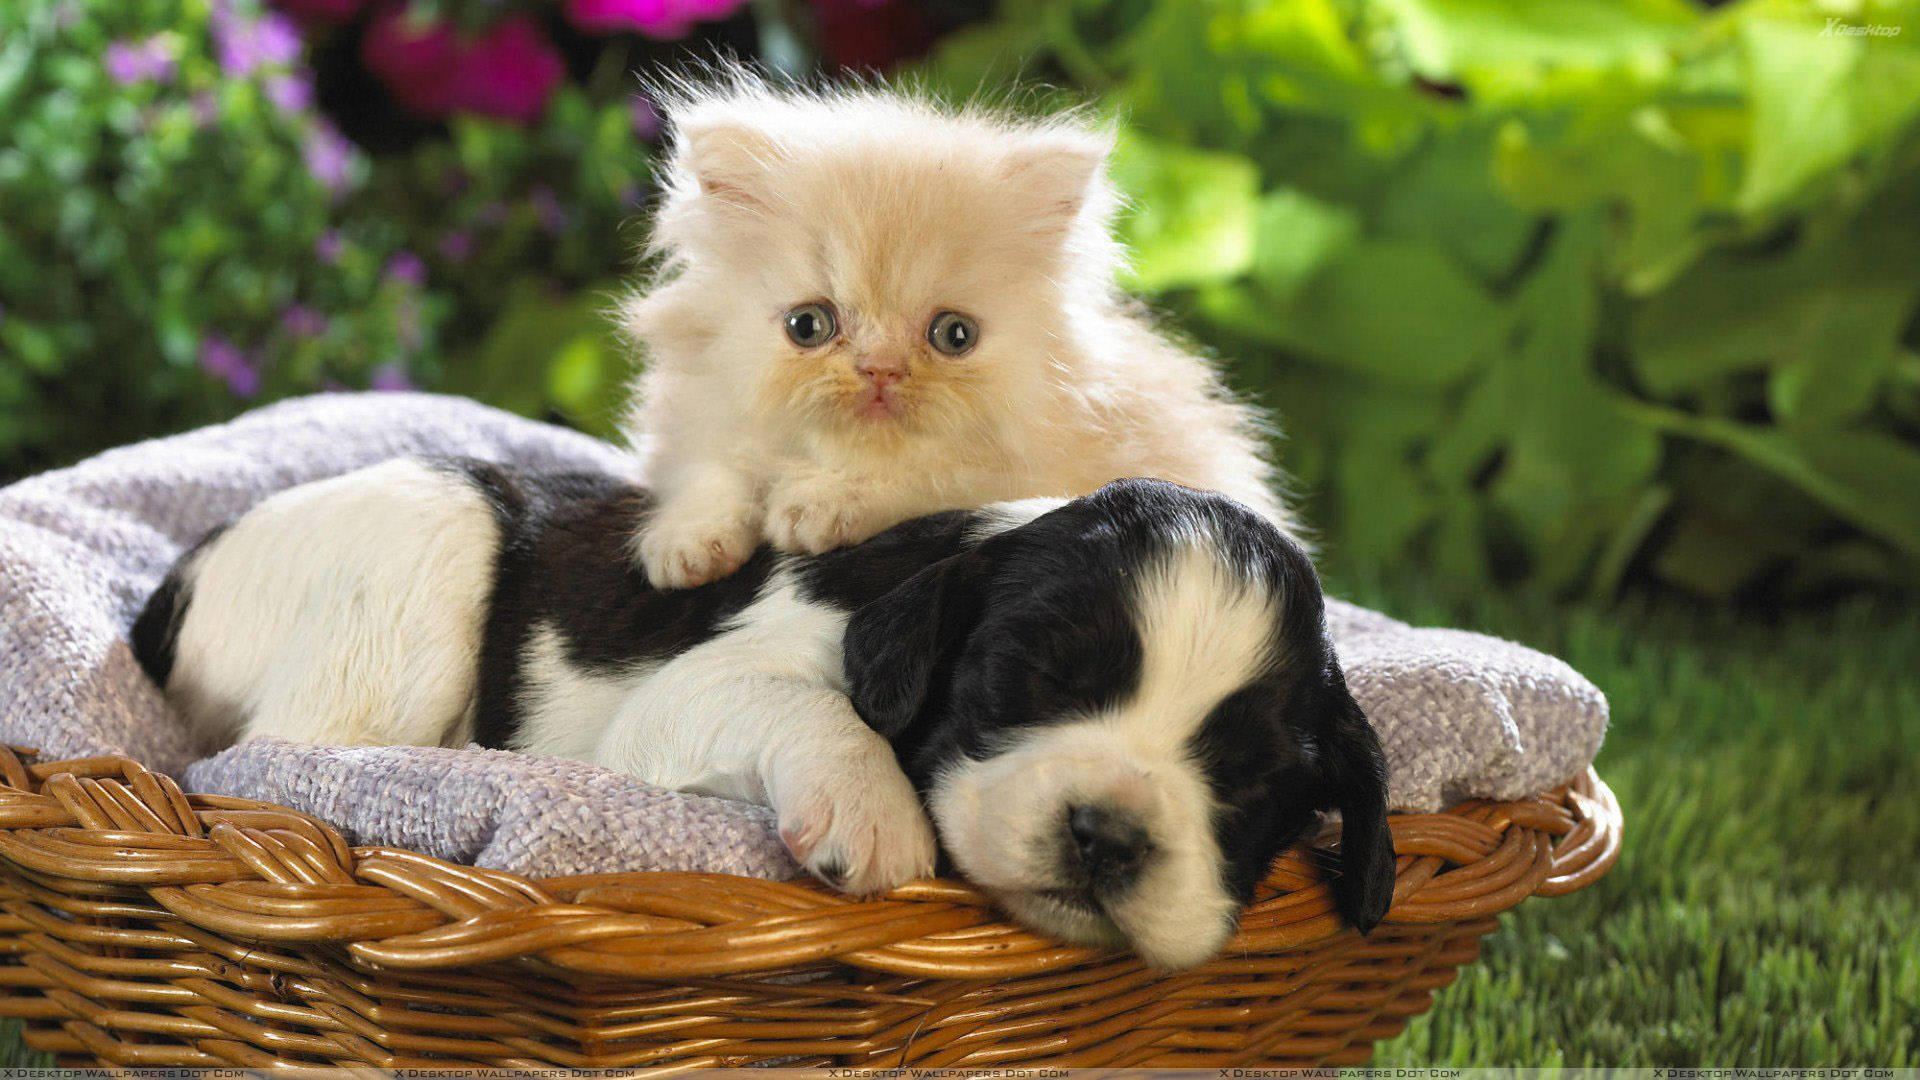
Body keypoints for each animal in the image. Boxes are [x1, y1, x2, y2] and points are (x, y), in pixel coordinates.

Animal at [135, 457, 1397, 960]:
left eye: (1248, 780)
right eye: (1030, 683)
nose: (1108, 835)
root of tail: (182, 571)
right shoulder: (696, 691)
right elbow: (806, 708)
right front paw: (873, 813)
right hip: (421, 548)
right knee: (285, 753)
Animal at [622, 78, 1297, 584]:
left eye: (954, 336)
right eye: (808, 326)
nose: (881, 370)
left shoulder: (1025, 477)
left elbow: (927, 475)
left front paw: (821, 503)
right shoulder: (698, 418)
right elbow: (711, 468)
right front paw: (687, 542)